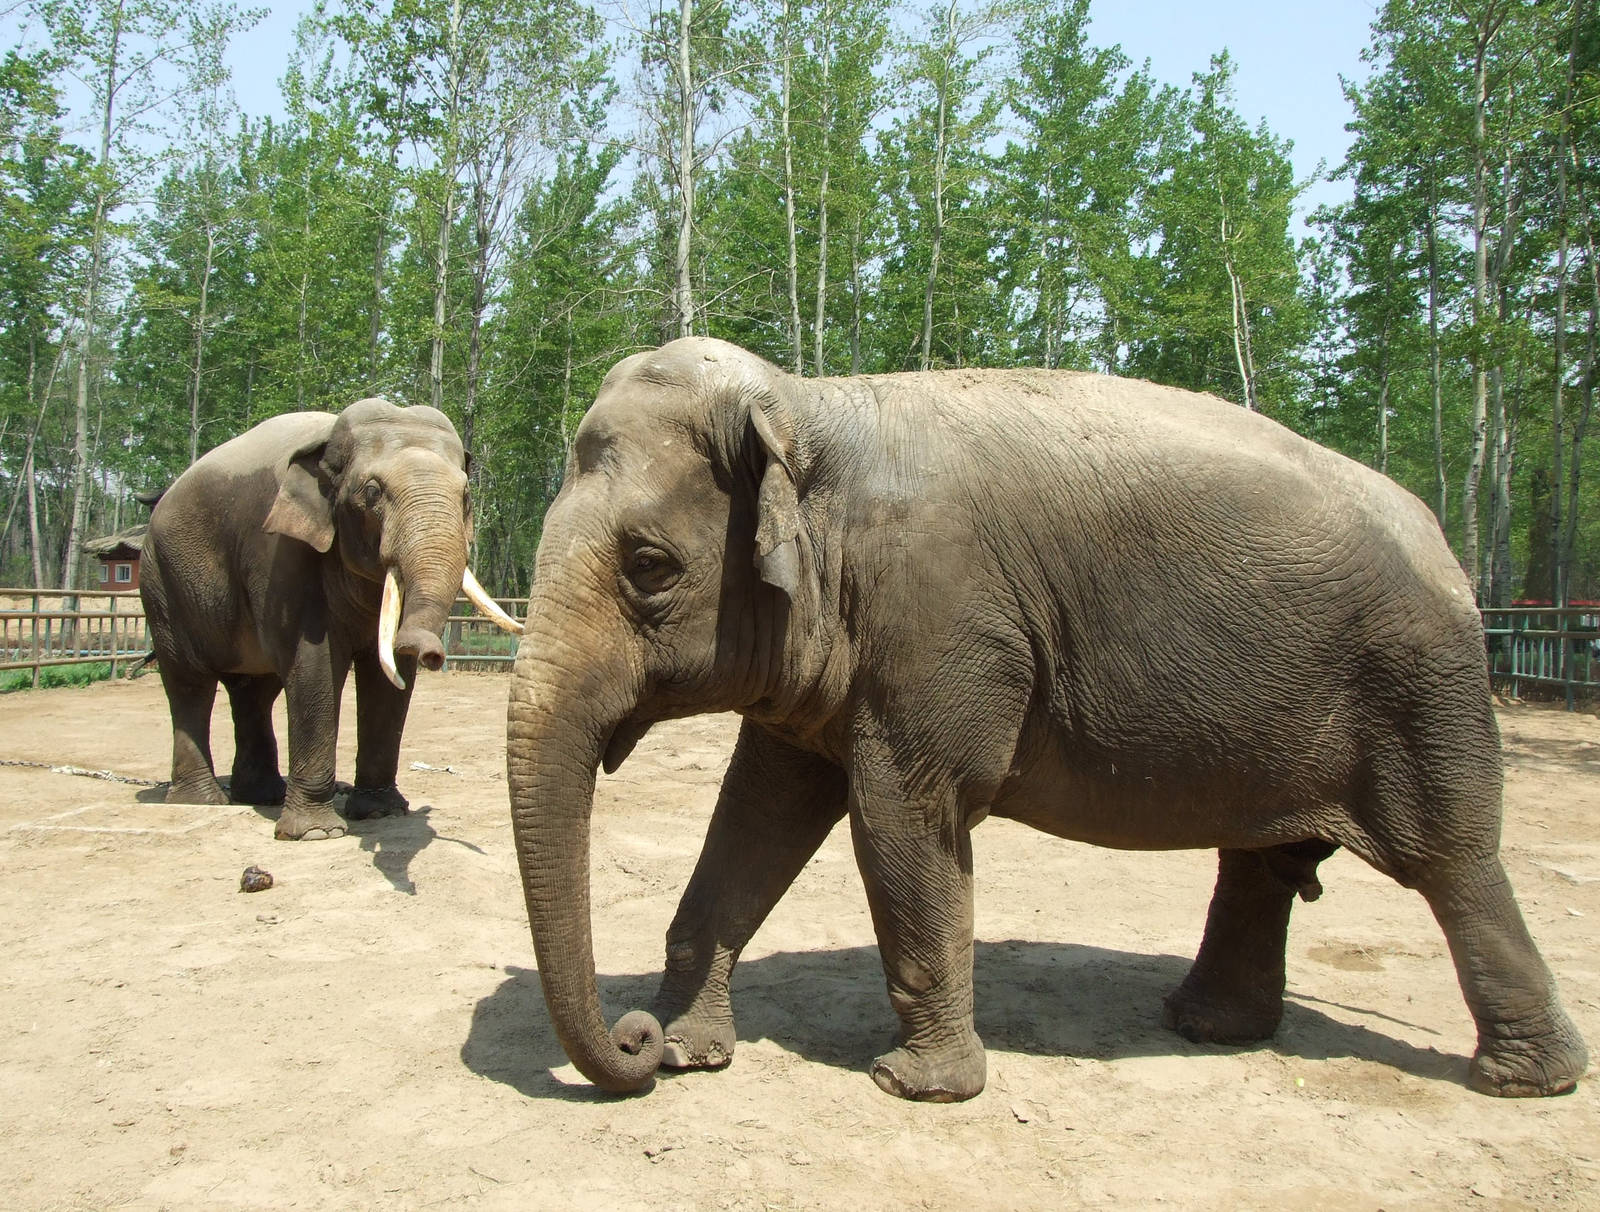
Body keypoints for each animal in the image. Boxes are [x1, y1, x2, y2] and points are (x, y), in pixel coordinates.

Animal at [141, 398, 521, 840]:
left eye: (465, 496)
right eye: (372, 492)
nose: (432, 655)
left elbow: (385, 679)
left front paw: (380, 813)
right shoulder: (282, 553)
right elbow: (313, 665)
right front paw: (315, 833)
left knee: (254, 690)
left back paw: (261, 795)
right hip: (162, 583)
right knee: (189, 683)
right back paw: (202, 800)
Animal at [504, 337, 1588, 1102]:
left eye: (650, 566)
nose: (630, 1041)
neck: (811, 404)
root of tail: (1447, 548)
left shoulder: (940, 628)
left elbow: (901, 820)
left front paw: (917, 1087)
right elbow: (758, 814)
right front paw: (690, 1055)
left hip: (1422, 690)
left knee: (1451, 864)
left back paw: (1526, 1081)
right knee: (1262, 865)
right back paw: (1207, 1027)